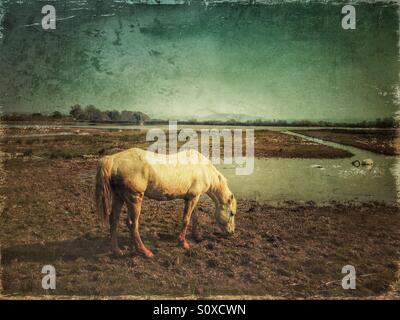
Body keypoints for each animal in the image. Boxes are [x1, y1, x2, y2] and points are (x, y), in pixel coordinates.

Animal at [95, 148, 236, 258]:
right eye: (232, 213)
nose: (232, 233)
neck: (203, 168)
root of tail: (113, 159)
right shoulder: (192, 198)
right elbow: (186, 219)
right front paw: (183, 243)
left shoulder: (193, 197)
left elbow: (194, 217)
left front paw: (197, 236)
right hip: (134, 198)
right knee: (132, 224)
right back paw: (145, 252)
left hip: (119, 197)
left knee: (114, 219)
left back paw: (116, 250)